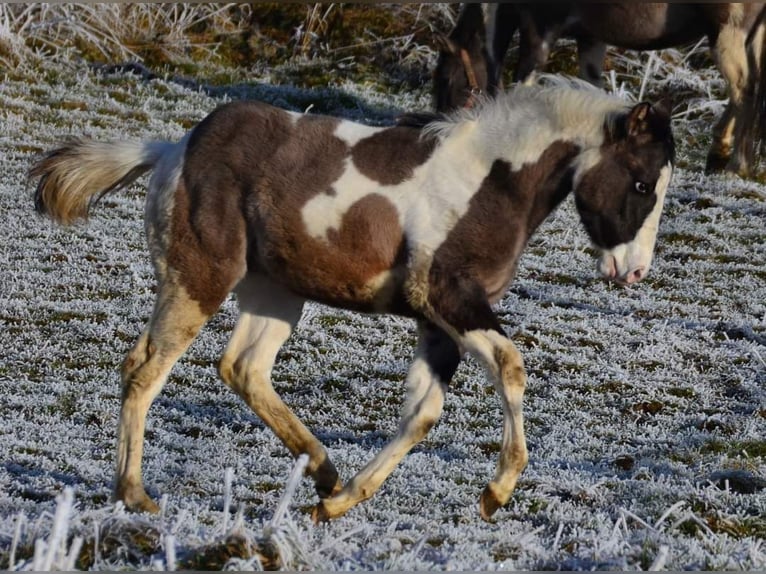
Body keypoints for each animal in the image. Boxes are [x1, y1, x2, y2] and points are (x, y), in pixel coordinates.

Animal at [31, 79, 680, 524]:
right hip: (199, 278)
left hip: (276, 294)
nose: (634, 271)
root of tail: (174, 148)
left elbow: (423, 412)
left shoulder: (436, 323)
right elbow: (511, 366)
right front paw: (496, 493)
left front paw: (340, 503)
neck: (489, 182)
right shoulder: (447, 297)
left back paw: (323, 473)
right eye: (642, 183)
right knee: (146, 369)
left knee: (242, 367)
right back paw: (135, 494)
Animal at [438, 2, 766, 178]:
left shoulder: (539, 30)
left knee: (744, 90)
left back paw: (737, 164)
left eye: (448, 82)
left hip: (728, 34)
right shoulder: (590, 38)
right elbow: (591, 89)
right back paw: (719, 155)